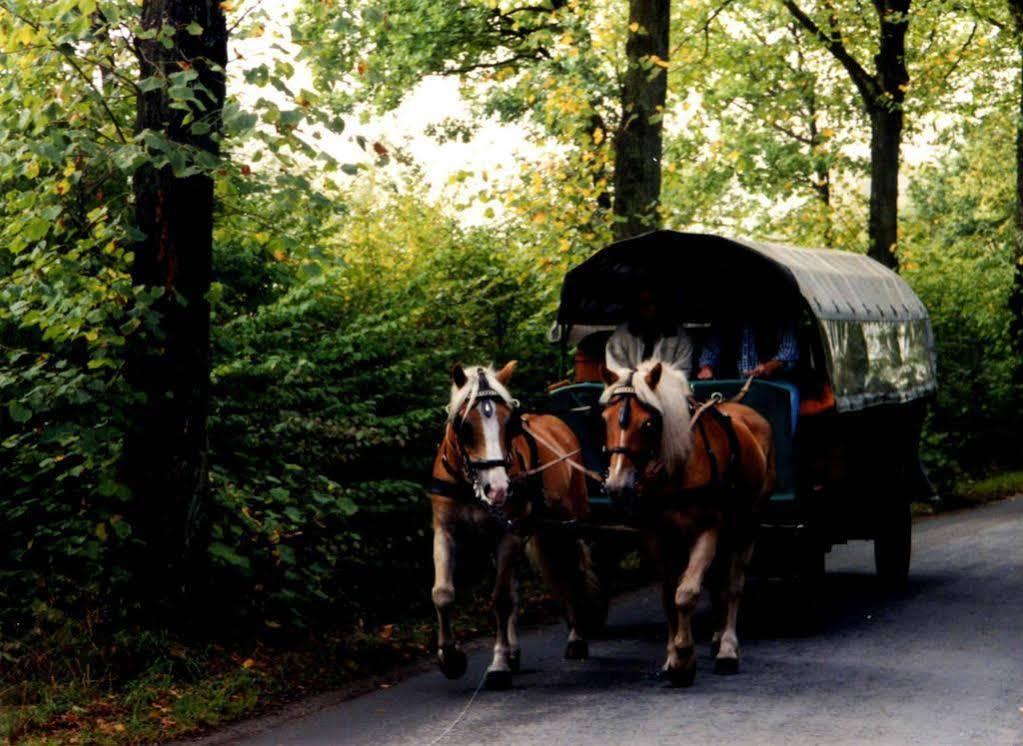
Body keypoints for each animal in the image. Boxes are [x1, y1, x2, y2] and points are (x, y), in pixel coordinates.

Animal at [425, 358, 601, 687]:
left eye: (510, 424)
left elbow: (501, 600)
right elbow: (442, 593)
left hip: (569, 522)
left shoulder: (508, 535)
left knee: (572, 572)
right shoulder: (445, 531)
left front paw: (498, 665)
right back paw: (515, 651)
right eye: (465, 426)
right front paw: (450, 658)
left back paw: (577, 638)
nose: (497, 489)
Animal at [597, 358, 773, 683]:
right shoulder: (656, 535)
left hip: (748, 522)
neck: (677, 467)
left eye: (648, 423)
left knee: (733, 585)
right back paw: (716, 637)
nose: (616, 485)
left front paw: (683, 658)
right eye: (605, 419)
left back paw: (727, 647)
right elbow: (668, 594)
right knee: (718, 582)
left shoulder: (708, 530)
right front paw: (672, 657)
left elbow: (686, 594)